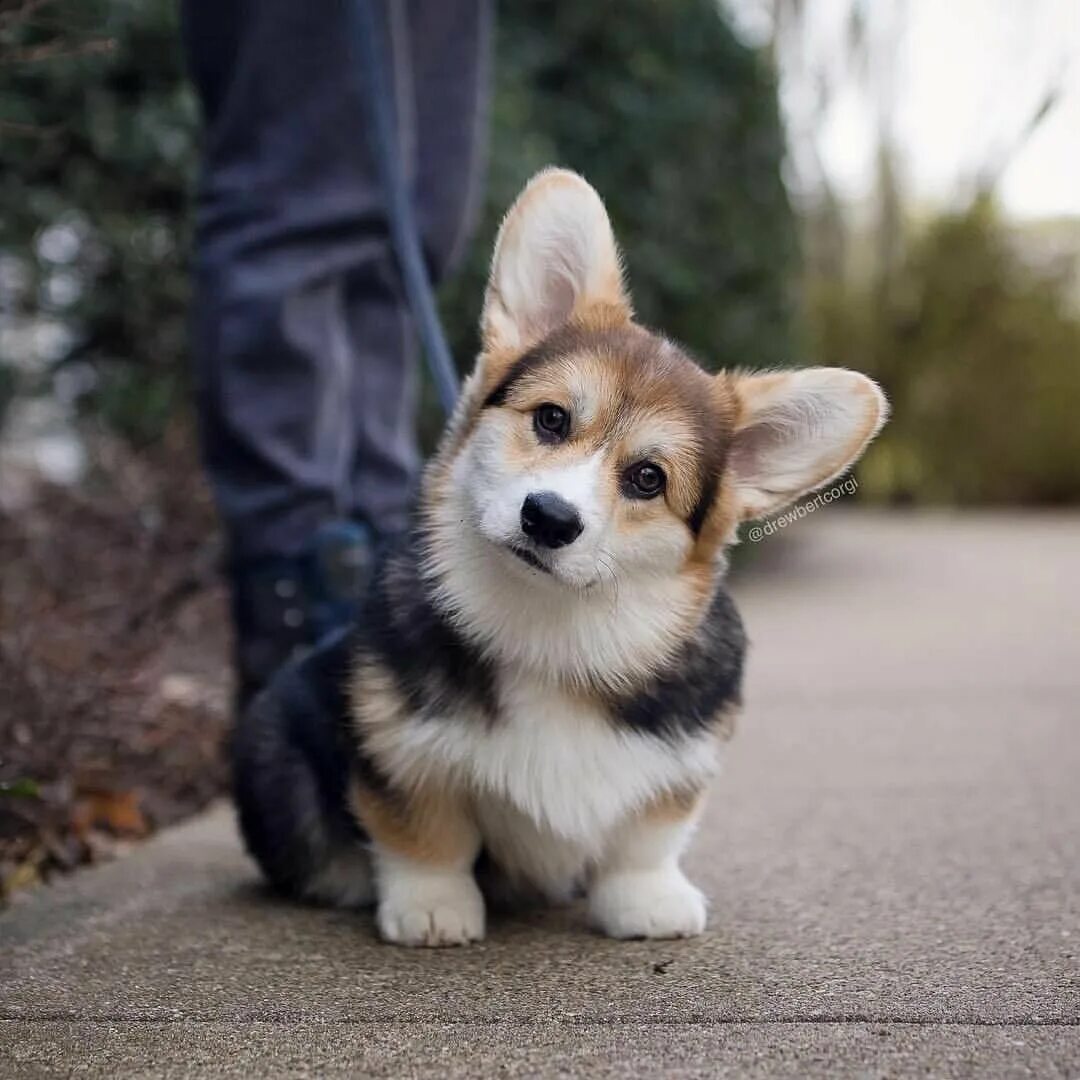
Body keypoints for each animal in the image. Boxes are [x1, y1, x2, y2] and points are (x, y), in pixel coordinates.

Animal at [234, 166, 885, 946]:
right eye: (550, 419)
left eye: (648, 478)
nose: (547, 518)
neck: (555, 630)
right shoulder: (399, 746)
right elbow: (426, 831)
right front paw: (432, 907)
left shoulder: (680, 763)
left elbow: (647, 836)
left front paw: (648, 901)